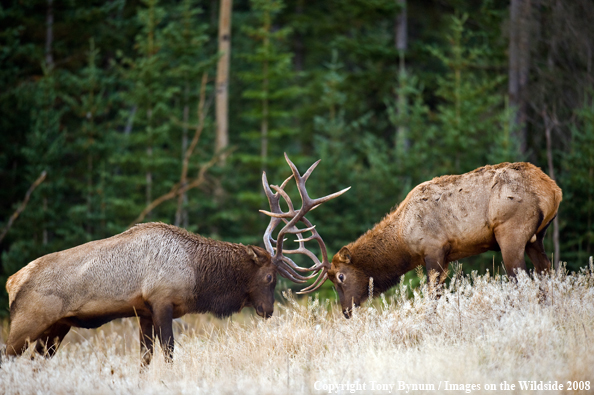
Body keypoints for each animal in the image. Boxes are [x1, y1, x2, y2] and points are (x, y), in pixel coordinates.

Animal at [3, 154, 346, 366]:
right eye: (269, 277)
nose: (268, 310)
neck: (197, 274)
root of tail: (11, 282)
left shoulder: (142, 312)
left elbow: (145, 359)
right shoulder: (161, 301)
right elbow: (168, 354)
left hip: (56, 328)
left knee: (36, 361)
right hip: (27, 323)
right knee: (10, 356)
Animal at [306, 162, 560, 318]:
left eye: (340, 276)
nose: (346, 311)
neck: (402, 238)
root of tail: (553, 190)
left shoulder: (434, 250)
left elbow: (432, 296)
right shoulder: (446, 258)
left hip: (511, 233)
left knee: (522, 280)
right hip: (536, 238)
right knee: (546, 271)